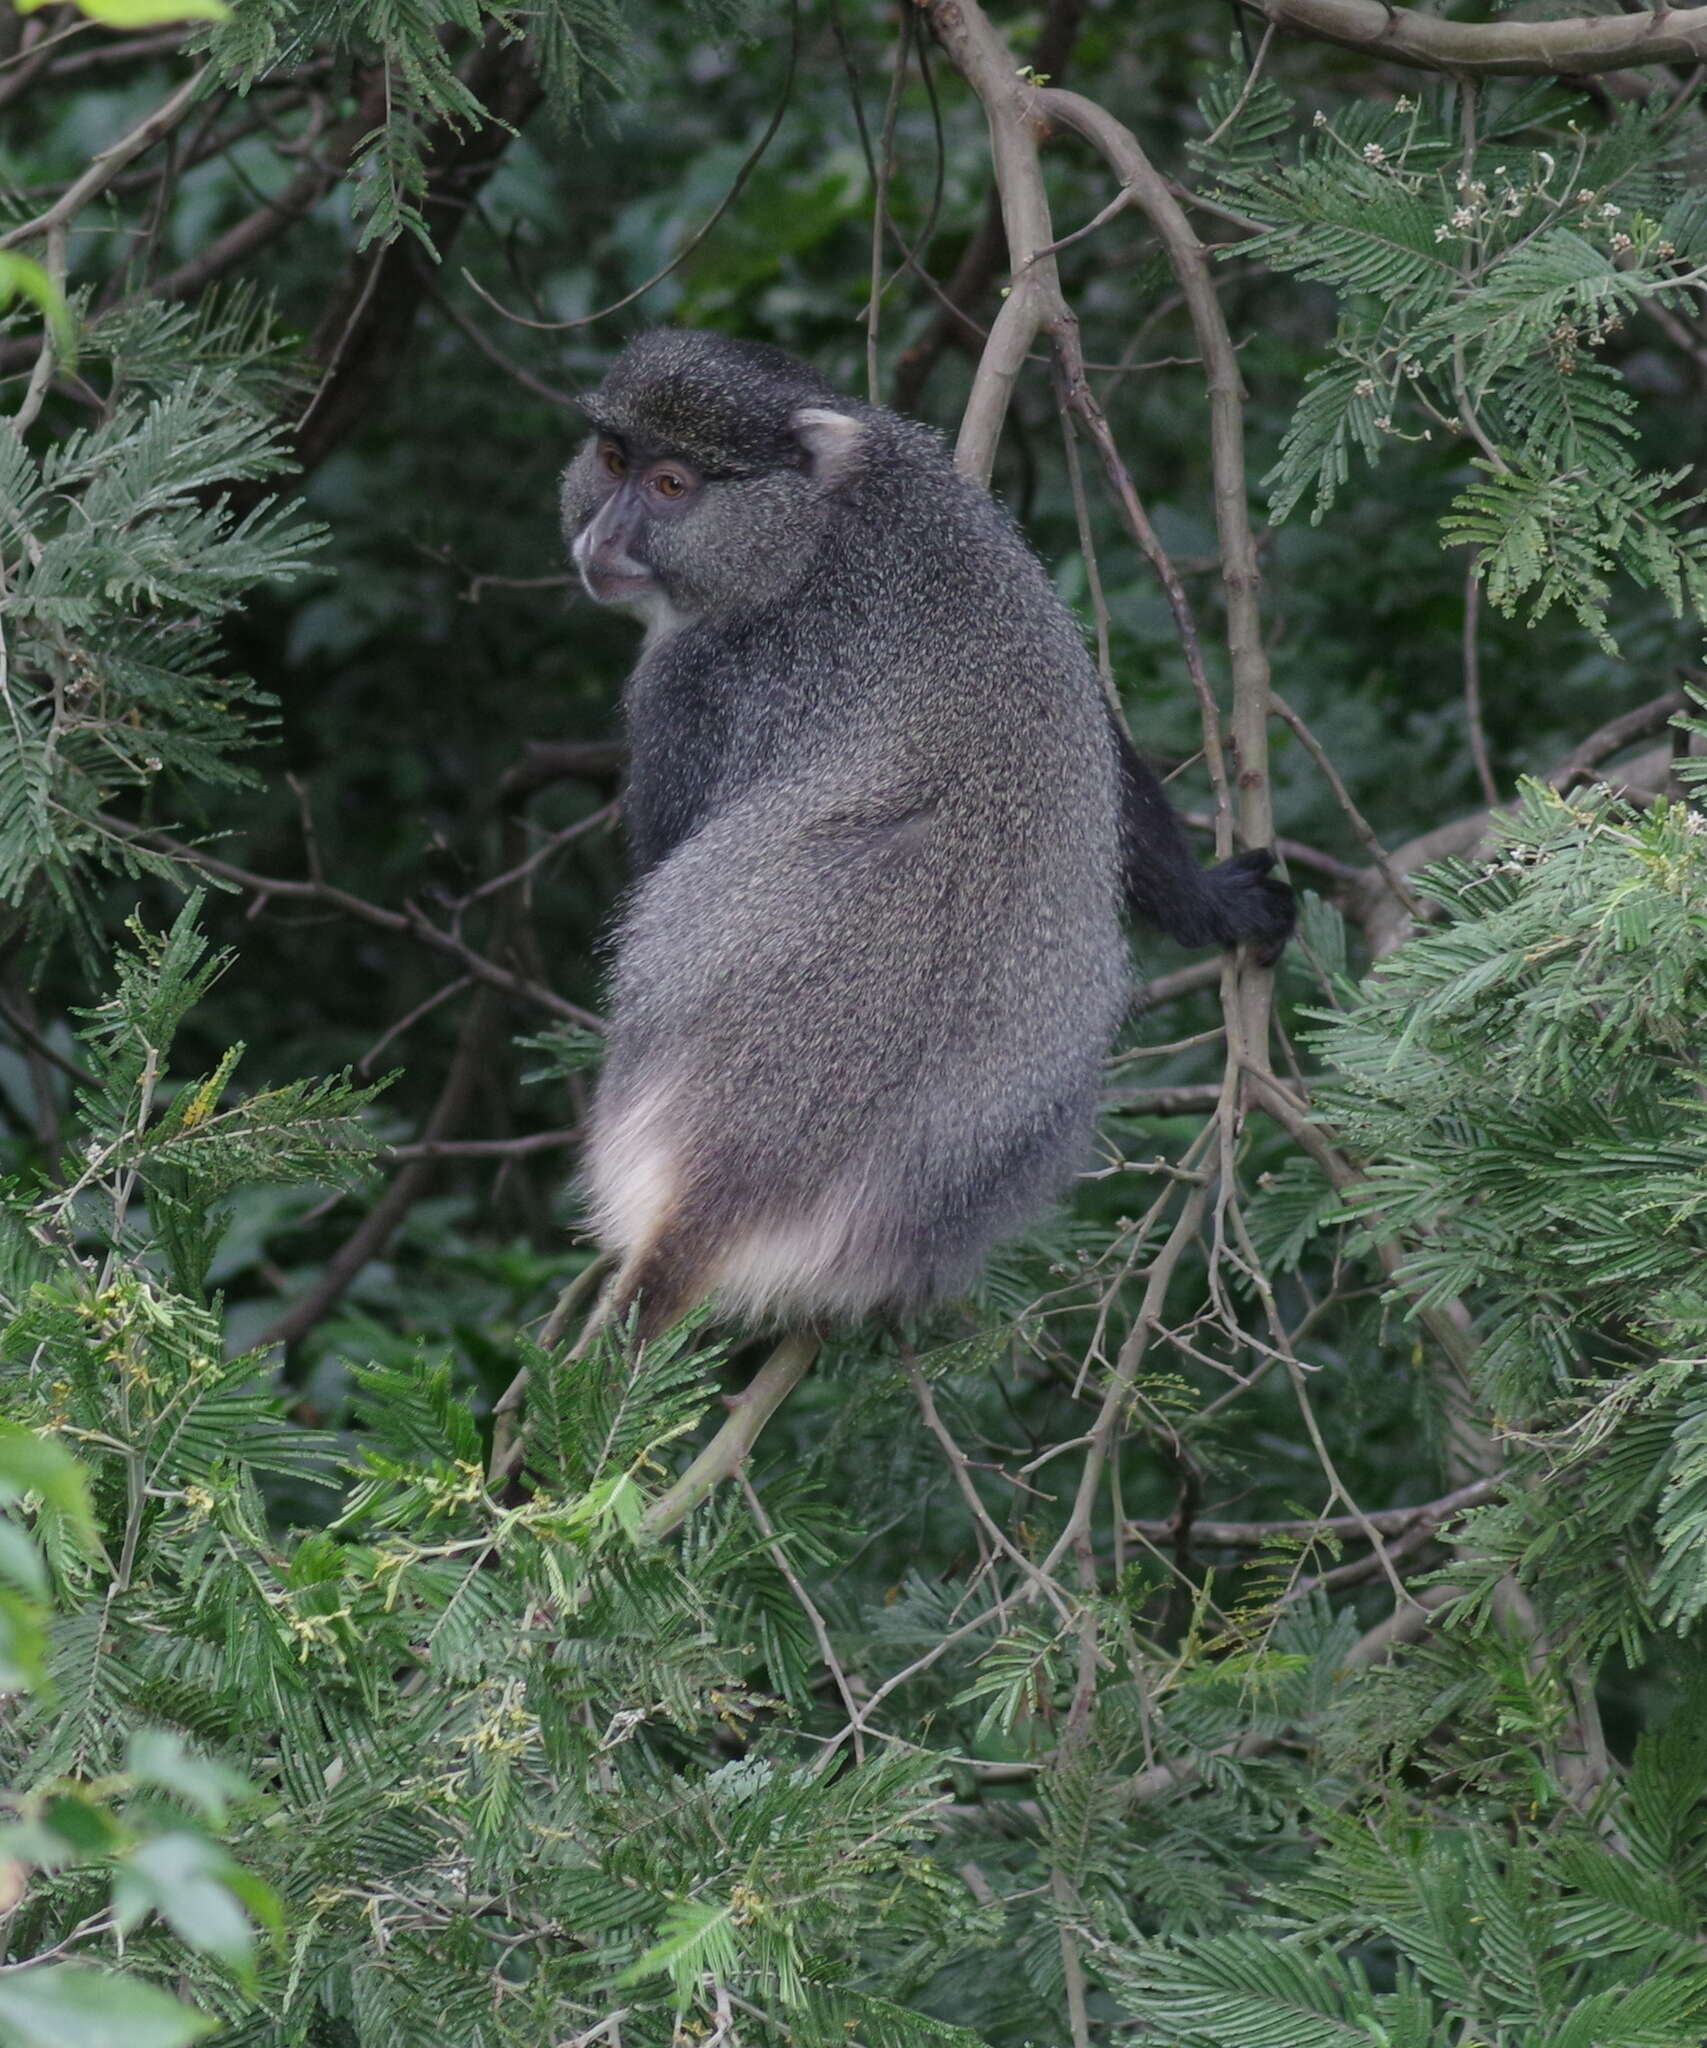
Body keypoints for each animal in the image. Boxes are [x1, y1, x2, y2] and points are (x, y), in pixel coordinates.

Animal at [557, 331, 1295, 1343]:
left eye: (671, 486)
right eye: (613, 460)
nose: (602, 538)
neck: (819, 526)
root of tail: (731, 1174)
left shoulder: (690, 683)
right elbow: (1106, 755)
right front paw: (1214, 905)